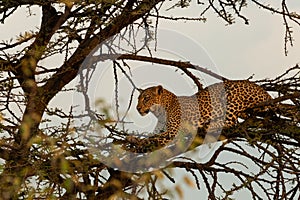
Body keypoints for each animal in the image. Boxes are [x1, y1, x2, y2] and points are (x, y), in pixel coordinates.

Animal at [120, 79, 270, 153]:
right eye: (138, 99)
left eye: (146, 98)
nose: (138, 108)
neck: (160, 111)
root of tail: (264, 92)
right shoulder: (162, 130)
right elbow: (151, 136)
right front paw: (132, 139)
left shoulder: (172, 132)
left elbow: (152, 140)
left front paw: (137, 145)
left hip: (230, 97)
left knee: (231, 121)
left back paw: (206, 126)